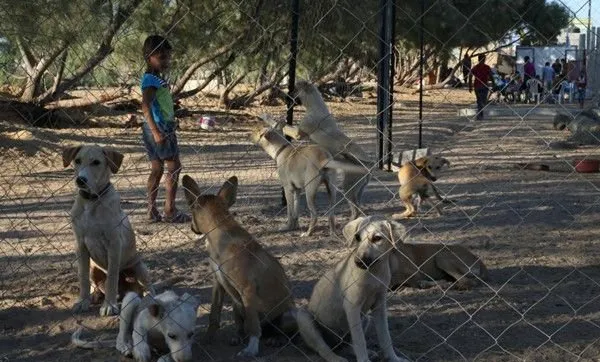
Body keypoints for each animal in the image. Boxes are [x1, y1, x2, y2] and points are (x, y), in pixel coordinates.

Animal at [61, 146, 152, 316]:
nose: (80, 180)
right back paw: (95, 295)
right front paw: (82, 301)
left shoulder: (114, 245)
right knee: (95, 284)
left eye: (96, 162)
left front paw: (109, 305)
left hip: (139, 267)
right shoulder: (80, 245)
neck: (92, 201)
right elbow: (83, 278)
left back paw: (149, 296)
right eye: (77, 160)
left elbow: (112, 278)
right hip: (93, 267)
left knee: (148, 285)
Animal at [183, 175, 296, 356]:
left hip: (288, 313)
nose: (192, 228)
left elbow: (253, 325)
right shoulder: (218, 283)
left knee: (287, 333)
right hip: (236, 305)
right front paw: (207, 338)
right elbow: (214, 314)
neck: (219, 233)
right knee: (241, 324)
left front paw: (251, 349)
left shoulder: (247, 290)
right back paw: (238, 336)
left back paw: (276, 339)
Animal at [296, 215, 410, 362]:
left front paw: (393, 358)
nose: (358, 262)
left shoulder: (379, 306)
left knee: (348, 344)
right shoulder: (352, 307)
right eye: (357, 237)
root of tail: (336, 343)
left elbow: (385, 336)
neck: (374, 273)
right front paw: (364, 360)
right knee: (323, 348)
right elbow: (360, 340)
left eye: (377, 238)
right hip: (305, 318)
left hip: (365, 318)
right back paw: (336, 358)